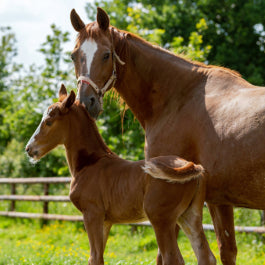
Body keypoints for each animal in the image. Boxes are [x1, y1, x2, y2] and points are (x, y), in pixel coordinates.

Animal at [26, 84, 214, 264]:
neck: (90, 163)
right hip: (189, 215)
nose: (29, 149)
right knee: (206, 256)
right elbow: (98, 255)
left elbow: (95, 257)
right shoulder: (106, 220)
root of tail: (192, 165)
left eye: (49, 121)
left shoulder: (91, 213)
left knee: (172, 258)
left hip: (160, 218)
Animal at [69, 7, 264, 262]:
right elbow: (227, 251)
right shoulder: (219, 199)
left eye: (106, 55)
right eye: (74, 56)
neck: (179, 98)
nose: (86, 102)